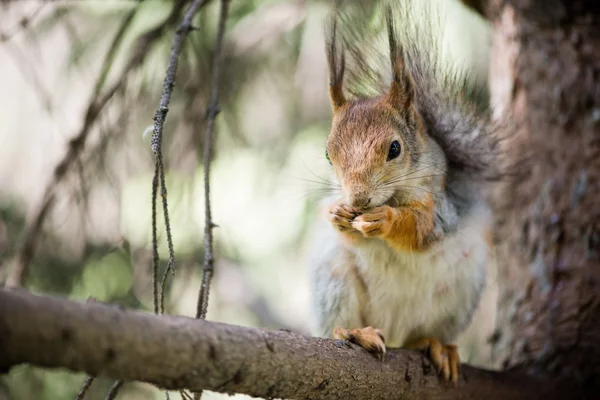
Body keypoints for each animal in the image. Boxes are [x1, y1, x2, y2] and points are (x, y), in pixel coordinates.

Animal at [308, 0, 494, 384]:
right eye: (328, 154)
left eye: (395, 149)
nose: (357, 200)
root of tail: (391, 330)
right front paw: (337, 214)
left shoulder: (442, 207)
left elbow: (423, 229)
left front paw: (387, 220)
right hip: (334, 280)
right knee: (341, 322)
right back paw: (356, 333)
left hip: (459, 294)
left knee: (420, 337)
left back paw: (435, 346)